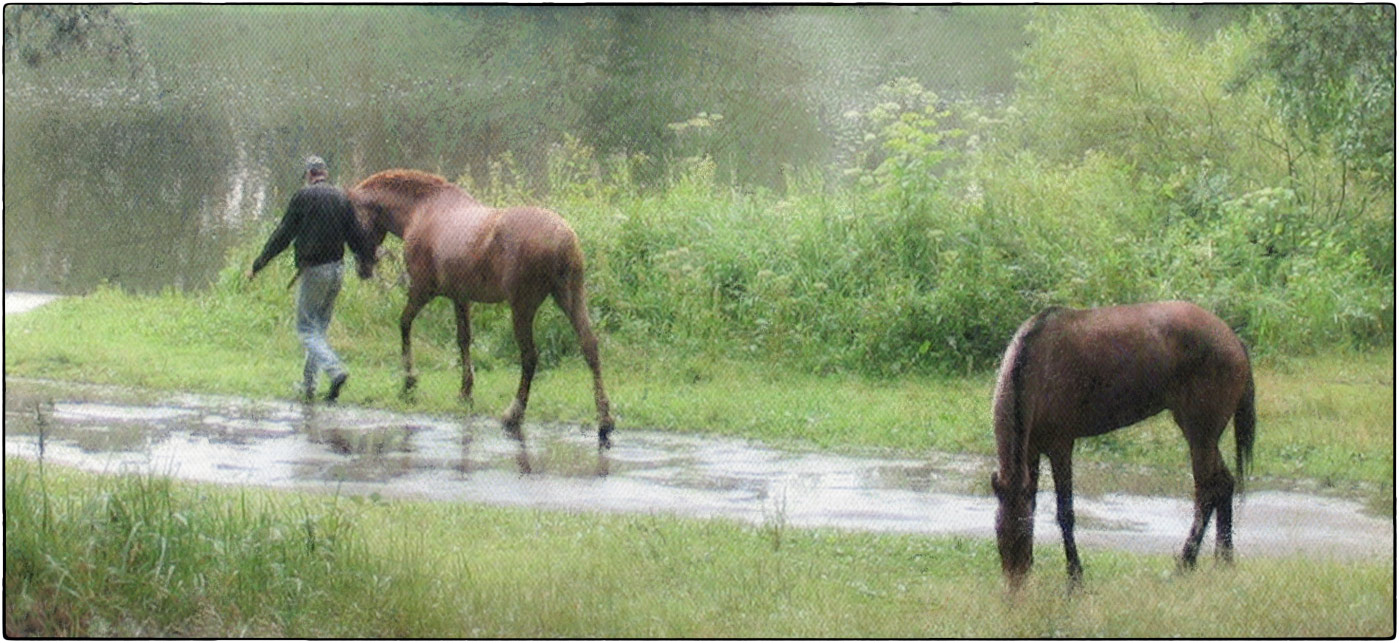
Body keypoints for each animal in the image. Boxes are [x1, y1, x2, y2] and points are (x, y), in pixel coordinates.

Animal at [348, 168, 612, 447]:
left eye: (353, 219)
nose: (363, 268)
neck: (422, 210)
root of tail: (563, 239)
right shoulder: (460, 297)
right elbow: (463, 339)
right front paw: (465, 392)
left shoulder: (422, 290)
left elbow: (404, 323)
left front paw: (409, 383)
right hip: (570, 297)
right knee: (589, 346)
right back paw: (604, 420)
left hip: (523, 306)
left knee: (529, 357)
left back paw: (513, 414)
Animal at [990, 301, 1253, 592]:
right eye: (998, 530)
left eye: (1022, 535)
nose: (1015, 588)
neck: (1037, 365)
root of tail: (1233, 339)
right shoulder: (1032, 450)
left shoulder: (1060, 446)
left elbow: (1065, 513)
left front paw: (1075, 579)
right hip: (1202, 435)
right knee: (1224, 484)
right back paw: (1224, 560)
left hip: (1200, 436)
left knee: (1206, 493)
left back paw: (1185, 564)